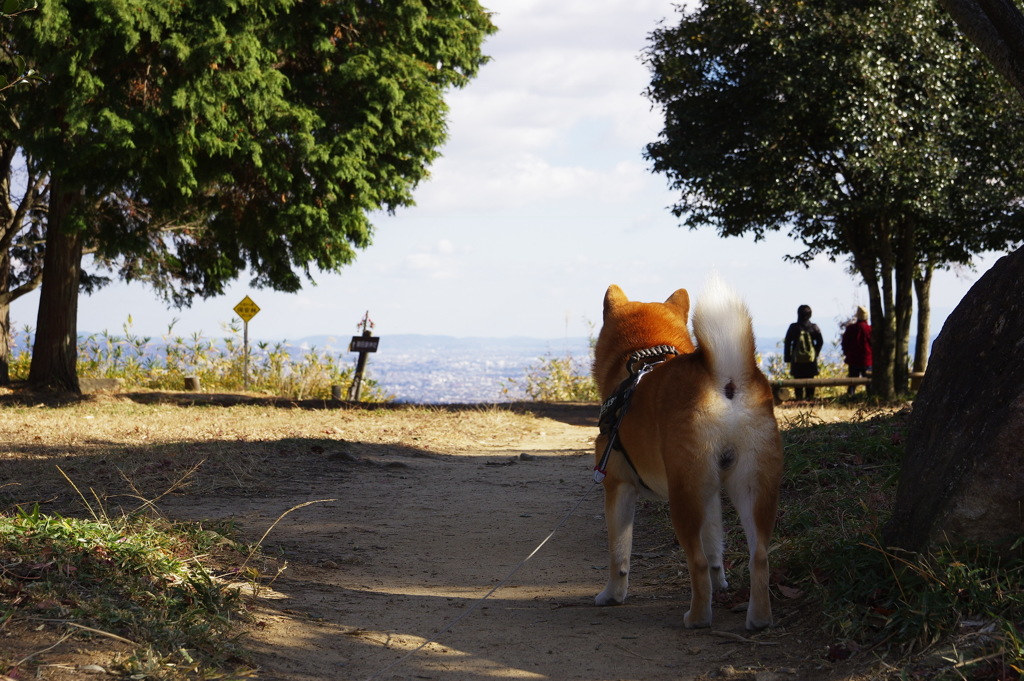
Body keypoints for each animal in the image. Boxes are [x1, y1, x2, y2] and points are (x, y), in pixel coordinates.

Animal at [589, 274, 778, 630]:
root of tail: (724, 381)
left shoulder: (617, 486)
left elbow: (618, 553)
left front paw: (612, 595)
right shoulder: (712, 494)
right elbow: (716, 549)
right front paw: (720, 585)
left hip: (683, 496)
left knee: (697, 562)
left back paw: (698, 617)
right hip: (750, 487)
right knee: (758, 556)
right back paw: (758, 618)